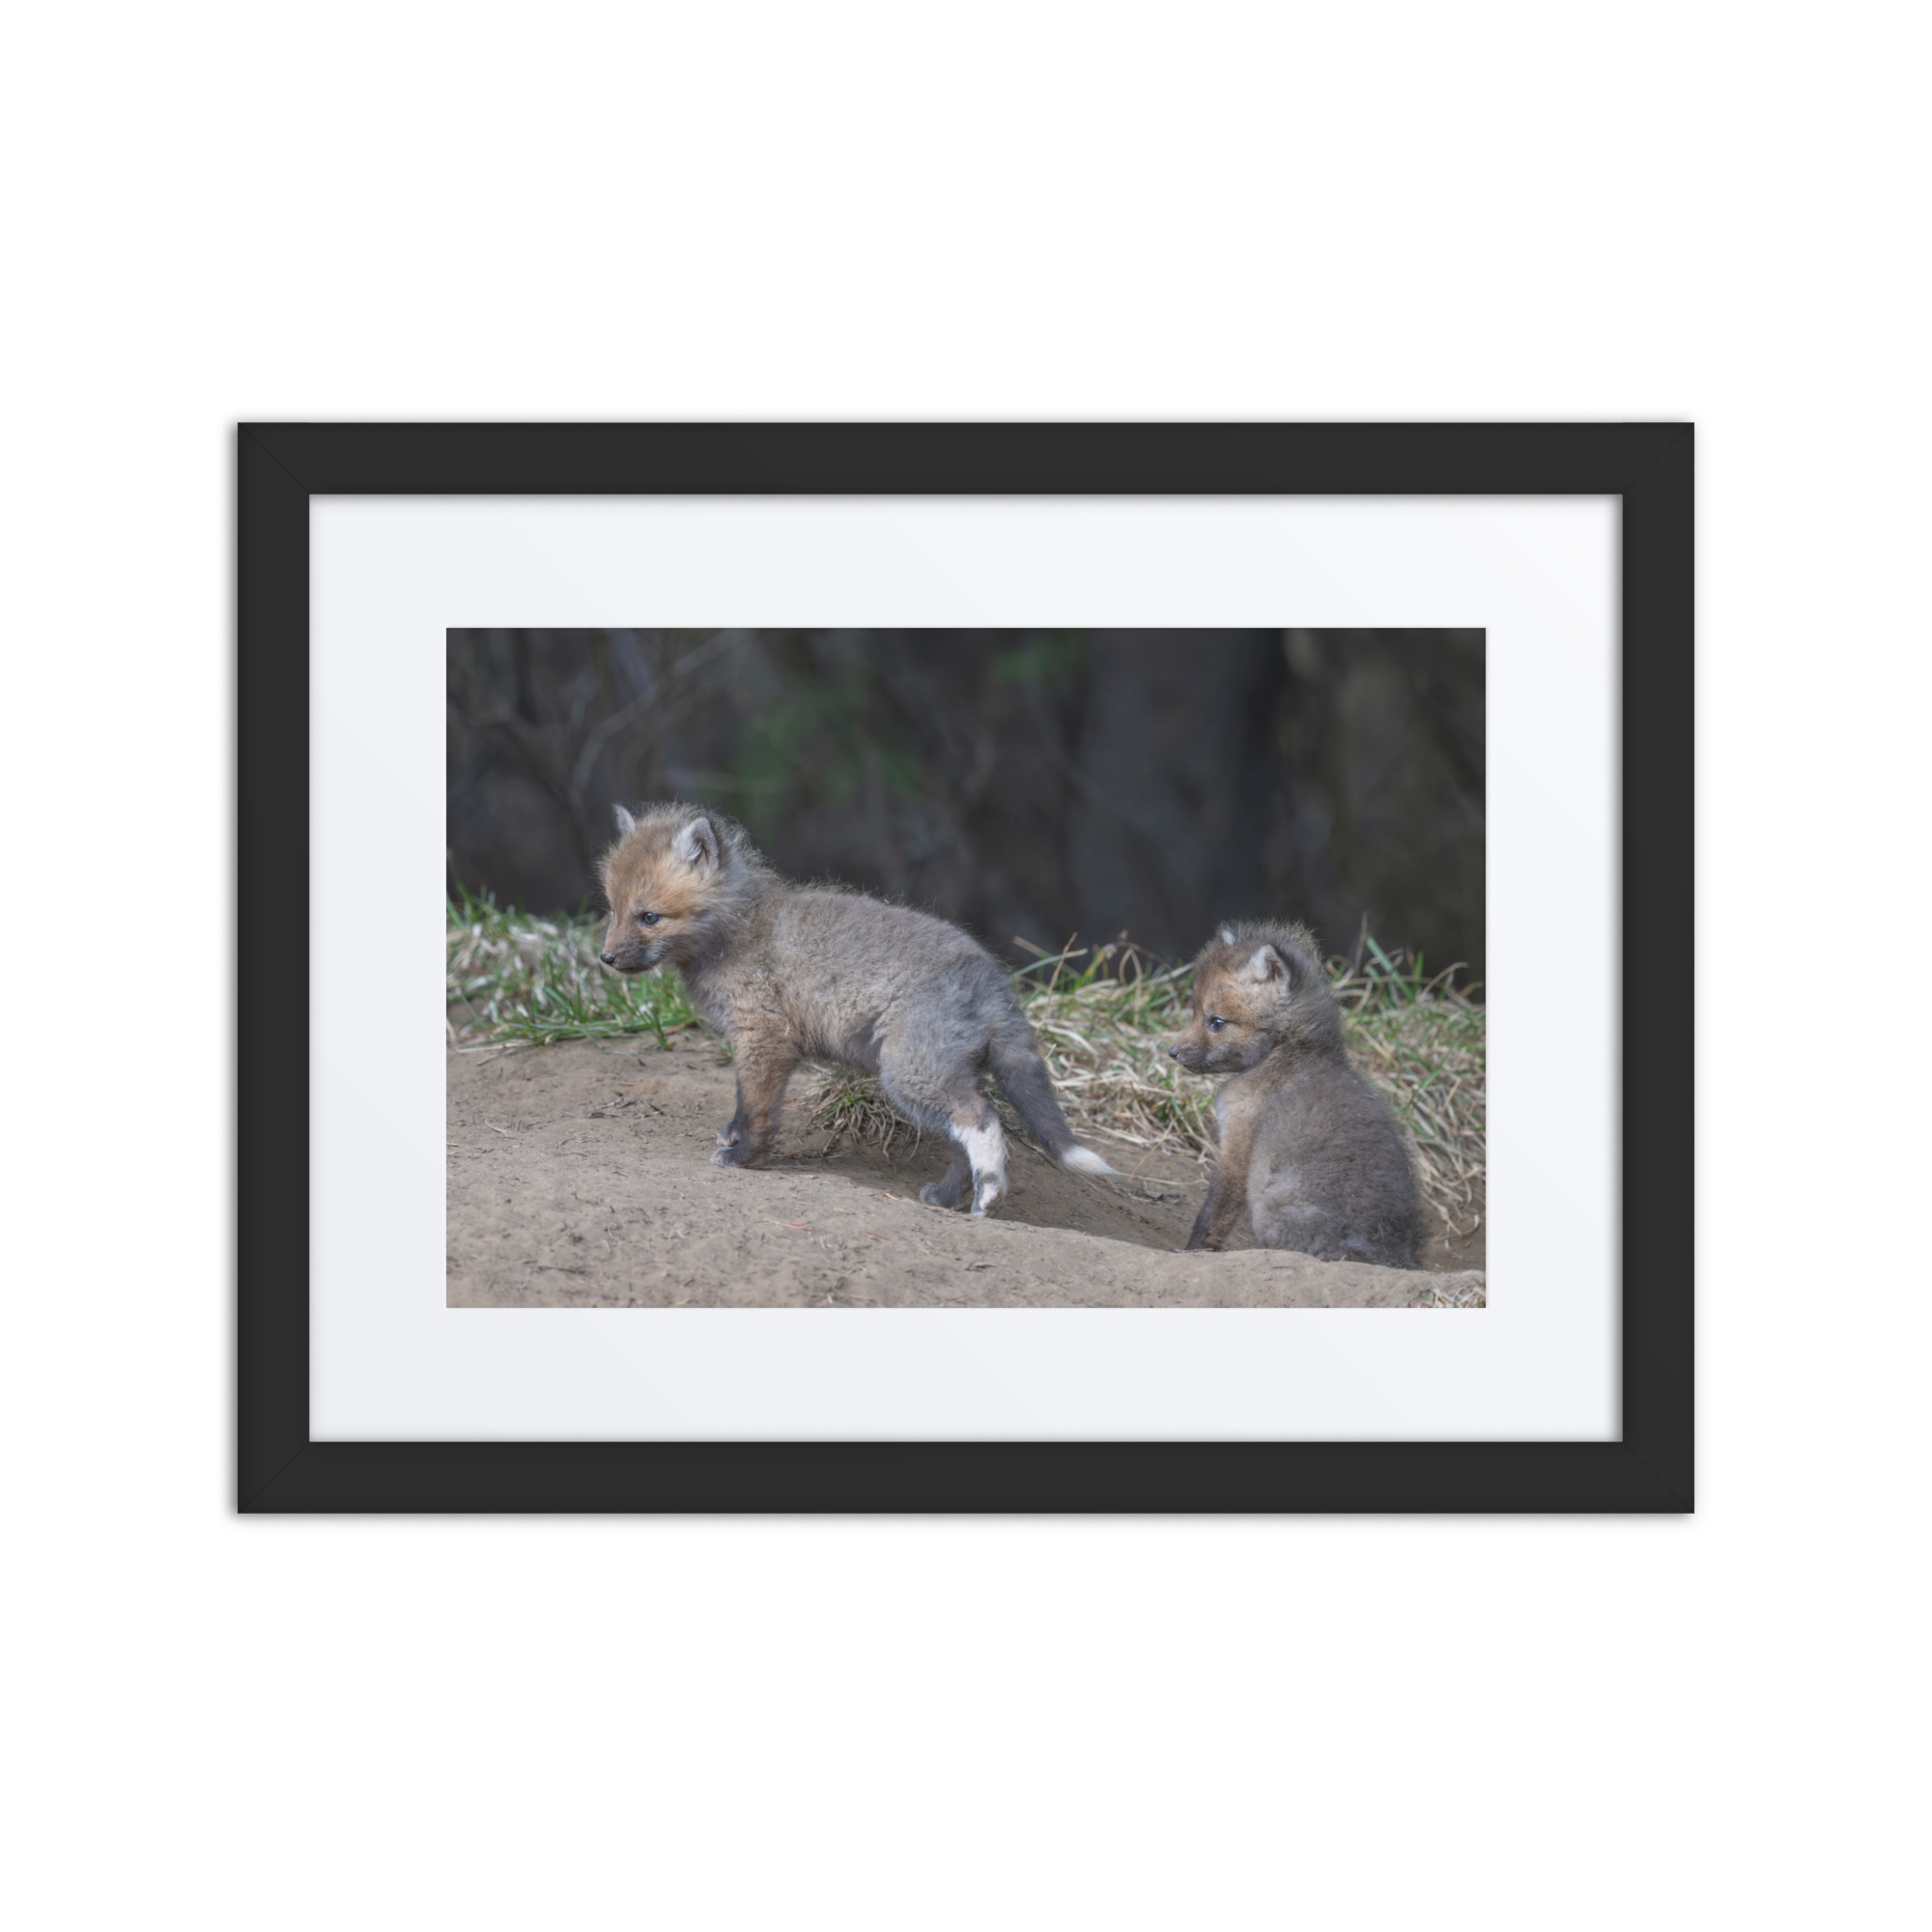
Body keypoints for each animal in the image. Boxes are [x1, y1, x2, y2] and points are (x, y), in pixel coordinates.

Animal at [597, 803, 1117, 1215]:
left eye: (649, 917)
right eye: (613, 910)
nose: (606, 958)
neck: (738, 930)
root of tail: (995, 981)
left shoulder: (764, 1036)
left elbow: (757, 1108)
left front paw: (744, 1157)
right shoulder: (760, 1043)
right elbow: (745, 1102)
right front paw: (734, 1138)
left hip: (909, 1074)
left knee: (982, 1119)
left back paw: (989, 1196)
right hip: (932, 1079)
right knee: (960, 1140)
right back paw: (948, 1198)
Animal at [1168, 920, 1422, 1268]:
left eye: (1217, 1022)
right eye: (1195, 1012)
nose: (1172, 1052)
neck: (1289, 1051)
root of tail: (1390, 1255)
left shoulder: (1238, 1144)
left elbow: (1213, 1213)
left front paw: (1191, 1252)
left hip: (1267, 1212)